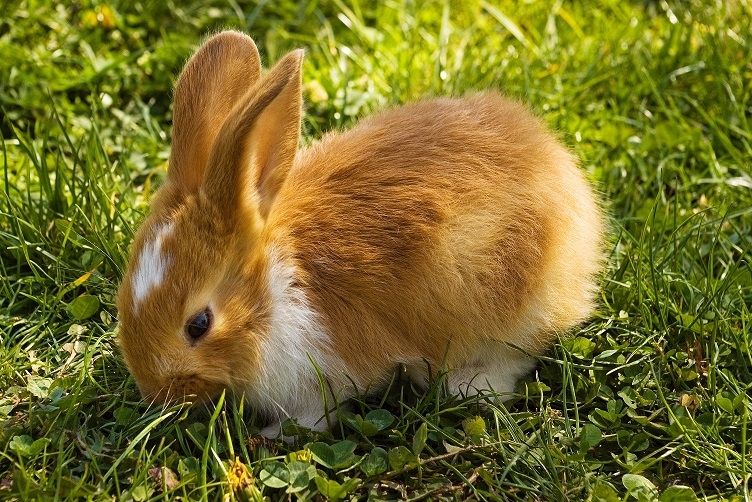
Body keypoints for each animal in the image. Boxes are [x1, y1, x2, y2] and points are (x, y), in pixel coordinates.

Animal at [116, 30, 604, 438]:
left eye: (199, 325)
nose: (156, 392)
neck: (273, 289)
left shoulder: (320, 375)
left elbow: (316, 415)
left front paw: (274, 435)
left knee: (517, 354)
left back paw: (467, 384)